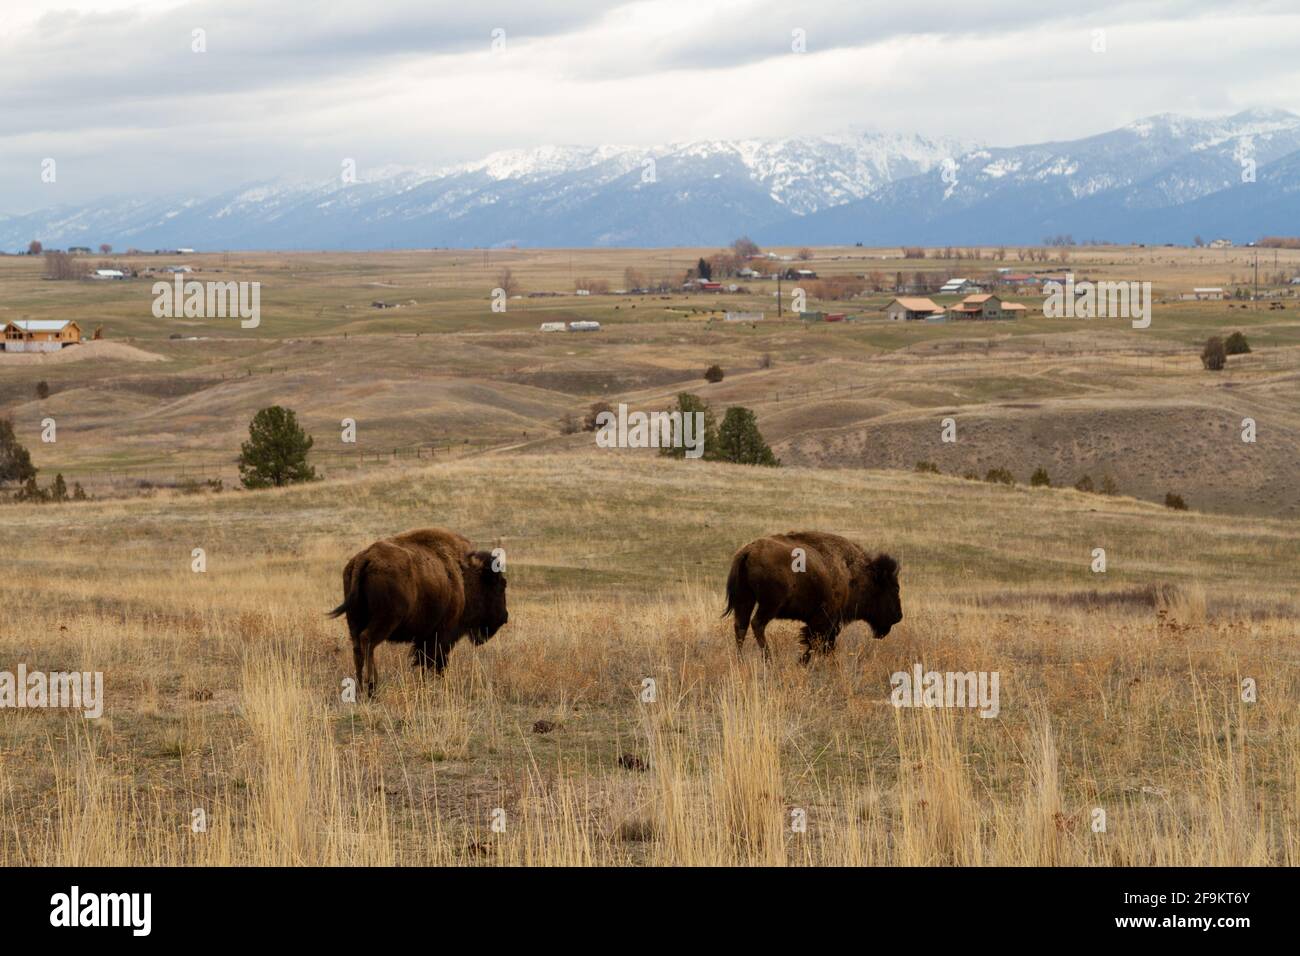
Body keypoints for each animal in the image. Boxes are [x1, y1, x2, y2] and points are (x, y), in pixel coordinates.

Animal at [325, 530, 506, 697]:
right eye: (500, 585)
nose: (504, 617)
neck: (463, 576)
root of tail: (365, 559)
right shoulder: (442, 635)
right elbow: (436, 661)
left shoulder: (425, 638)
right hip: (386, 621)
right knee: (367, 640)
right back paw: (372, 687)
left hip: (354, 621)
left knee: (357, 648)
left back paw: (359, 688)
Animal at [728, 530, 899, 665]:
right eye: (893, 589)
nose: (898, 616)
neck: (852, 574)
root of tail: (748, 552)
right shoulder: (825, 619)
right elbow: (816, 643)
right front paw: (802, 663)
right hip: (769, 605)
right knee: (756, 624)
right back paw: (769, 660)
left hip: (745, 599)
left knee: (741, 626)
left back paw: (740, 661)